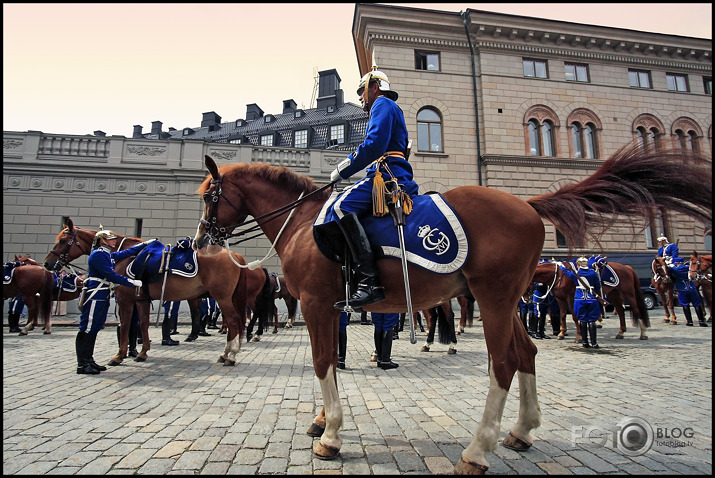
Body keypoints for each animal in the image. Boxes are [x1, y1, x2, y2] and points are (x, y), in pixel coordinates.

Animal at [45, 220, 266, 366]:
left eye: (63, 240)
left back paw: (230, 355)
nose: (48, 263)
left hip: (222, 297)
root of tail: (236, 255)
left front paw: (119, 355)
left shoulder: (125, 300)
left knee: (235, 321)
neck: (124, 256)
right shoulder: (142, 299)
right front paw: (142, 352)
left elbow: (125, 326)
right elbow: (143, 324)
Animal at [192, 144, 712, 472]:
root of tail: (526, 204)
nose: (200, 241)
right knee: (527, 355)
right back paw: (521, 432)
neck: (301, 221)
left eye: (210, 195)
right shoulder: (330, 309)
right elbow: (328, 364)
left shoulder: (320, 305)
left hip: (495, 300)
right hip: (508, 302)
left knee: (503, 362)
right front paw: (321, 421)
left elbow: (322, 363)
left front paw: (331, 436)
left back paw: (477, 452)